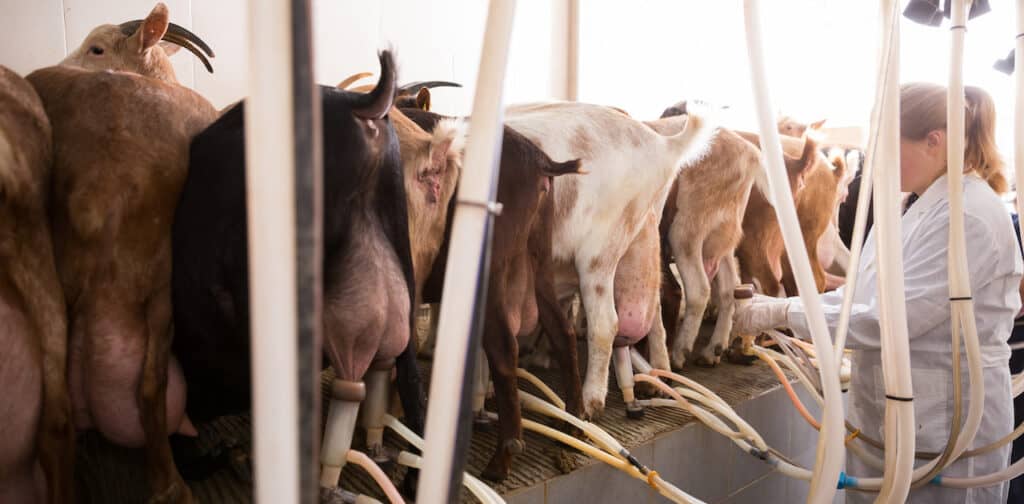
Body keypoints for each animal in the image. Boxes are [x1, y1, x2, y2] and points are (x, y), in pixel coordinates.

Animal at [25, 2, 218, 499]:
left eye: (97, 48)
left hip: (60, 293)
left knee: (60, 417)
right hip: (160, 286)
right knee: (151, 389)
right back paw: (172, 485)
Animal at [501, 101, 712, 417]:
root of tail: (661, 143)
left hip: (600, 250)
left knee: (605, 324)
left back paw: (591, 401)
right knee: (655, 308)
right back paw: (659, 377)